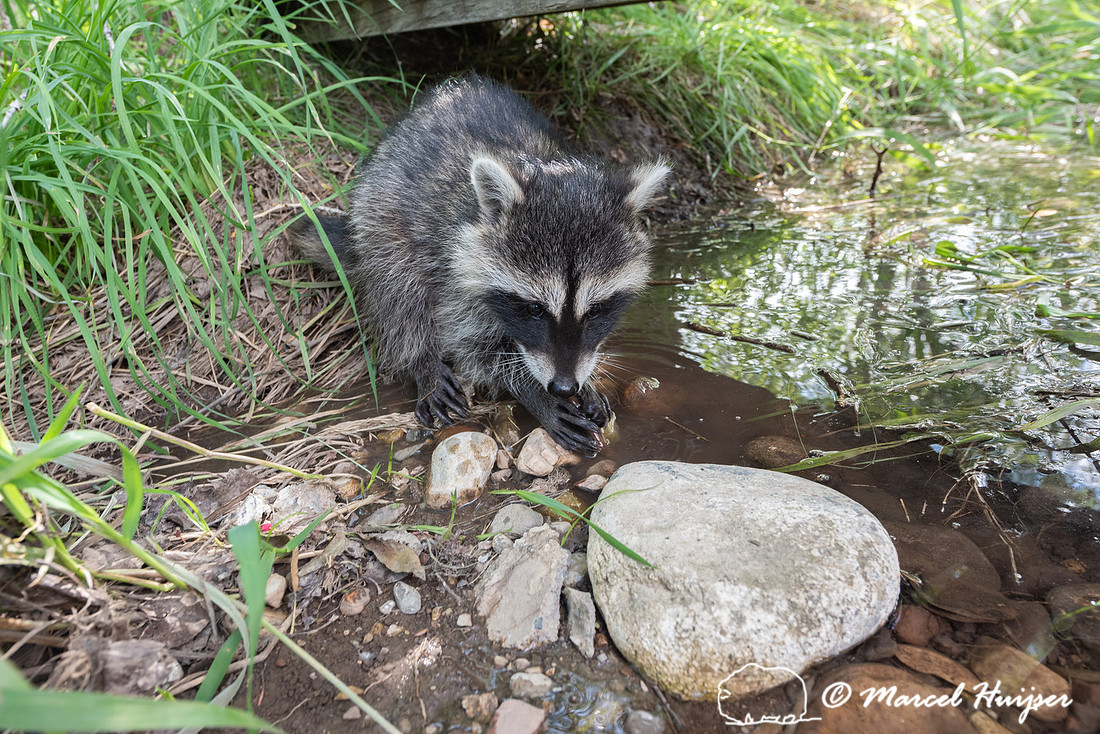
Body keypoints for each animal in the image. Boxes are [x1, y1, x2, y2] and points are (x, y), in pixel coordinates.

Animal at [289, 75, 668, 455]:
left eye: (596, 310)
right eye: (535, 308)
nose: (563, 387)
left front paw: (586, 380)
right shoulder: (453, 269)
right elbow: (472, 346)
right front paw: (532, 390)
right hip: (380, 213)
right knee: (397, 289)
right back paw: (420, 358)